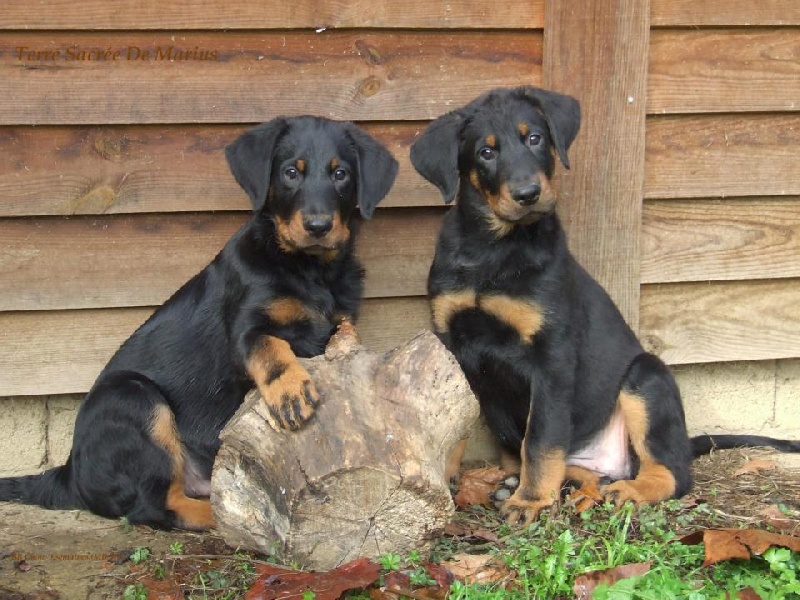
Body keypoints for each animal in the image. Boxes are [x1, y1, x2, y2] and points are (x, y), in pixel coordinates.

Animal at [0, 116, 400, 528]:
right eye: (291, 172)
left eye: (341, 174)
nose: (318, 226)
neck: (310, 269)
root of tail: (70, 474)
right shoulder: (244, 328)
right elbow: (271, 346)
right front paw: (291, 392)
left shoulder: (338, 322)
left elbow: (344, 336)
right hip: (132, 398)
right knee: (154, 506)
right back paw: (222, 516)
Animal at [412, 85, 800, 524]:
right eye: (486, 152)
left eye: (535, 138)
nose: (529, 194)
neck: (493, 247)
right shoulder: (450, 347)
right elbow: (453, 425)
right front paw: (448, 478)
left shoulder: (552, 357)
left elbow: (540, 438)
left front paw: (530, 501)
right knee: (586, 471)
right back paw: (545, 484)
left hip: (646, 379)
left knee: (671, 472)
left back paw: (626, 492)